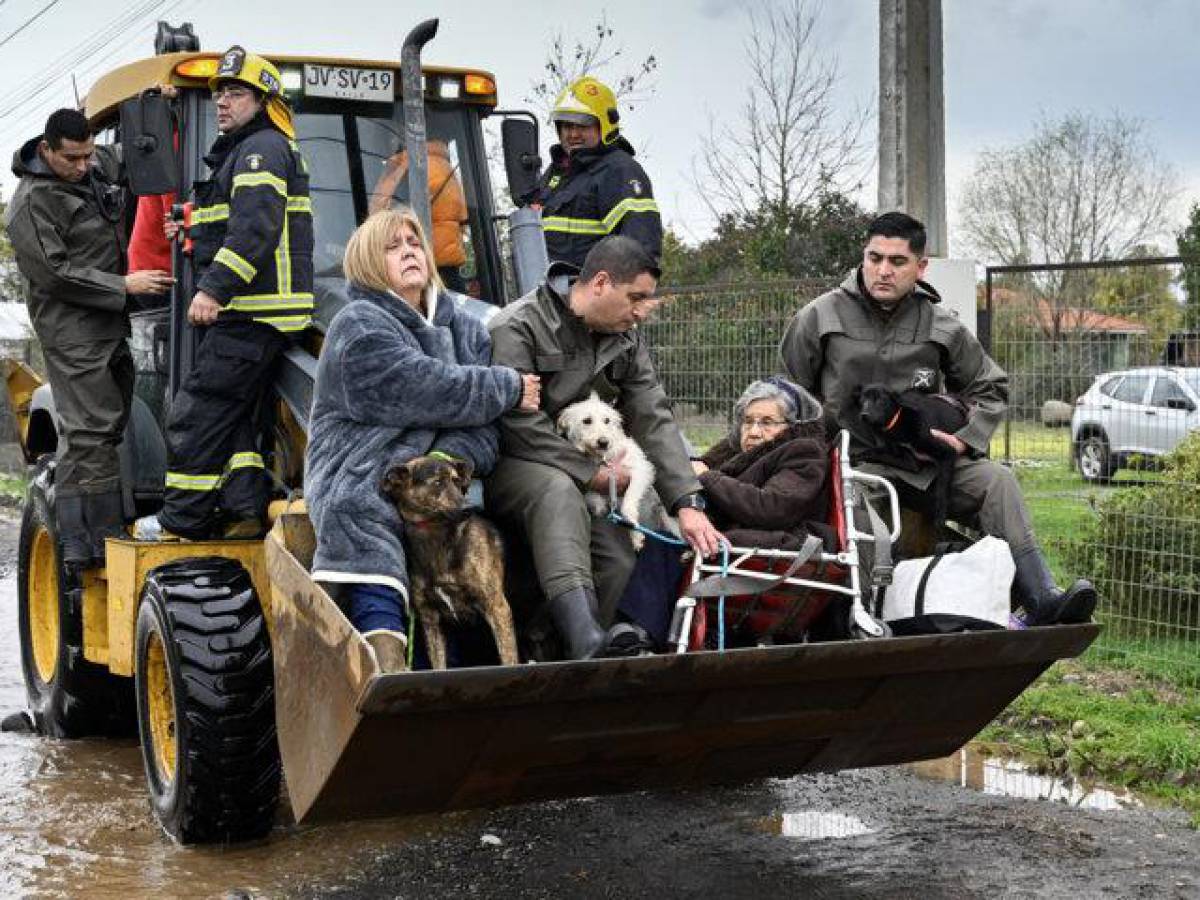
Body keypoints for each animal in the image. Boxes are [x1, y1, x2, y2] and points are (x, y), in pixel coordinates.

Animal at [381, 458, 518, 672]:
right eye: (437, 482)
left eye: (456, 480)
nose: (469, 508)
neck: (437, 536)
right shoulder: (430, 618)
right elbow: (438, 665)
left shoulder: (497, 607)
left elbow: (509, 659)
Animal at [554, 393, 657, 554]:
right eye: (587, 420)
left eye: (607, 420)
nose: (604, 442)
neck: (604, 458)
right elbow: (595, 500)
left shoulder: (641, 471)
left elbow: (627, 506)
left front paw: (635, 534)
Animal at [849, 384, 969, 532]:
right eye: (862, 400)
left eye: (880, 399)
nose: (864, 415)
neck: (898, 421)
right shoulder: (909, 460)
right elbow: (877, 452)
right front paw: (855, 455)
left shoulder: (947, 452)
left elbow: (942, 490)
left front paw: (940, 519)